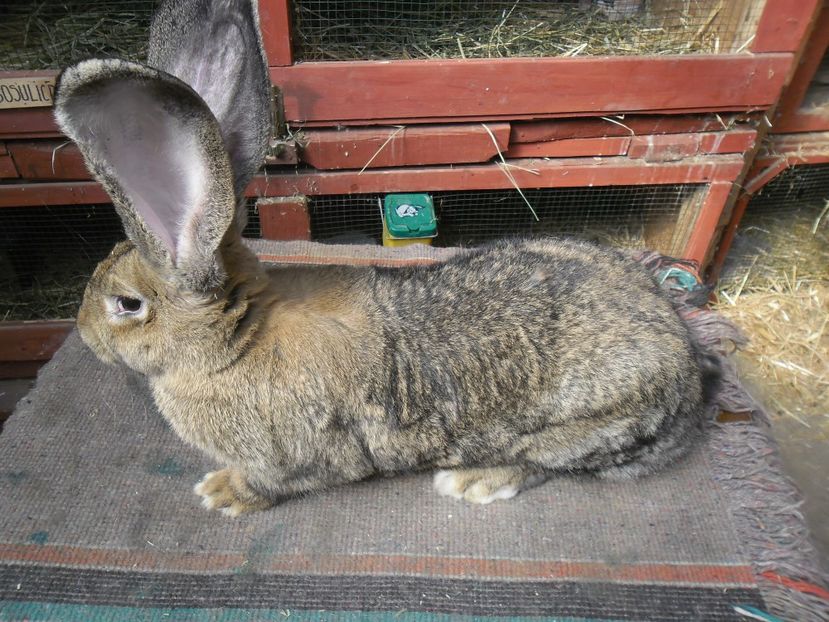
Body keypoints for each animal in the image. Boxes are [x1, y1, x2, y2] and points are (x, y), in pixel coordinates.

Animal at [55, 0, 719, 516]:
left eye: (126, 305)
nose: (82, 333)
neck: (234, 341)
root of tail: (687, 367)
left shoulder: (287, 460)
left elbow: (269, 483)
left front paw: (221, 493)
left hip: (581, 429)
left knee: (545, 463)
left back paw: (473, 481)